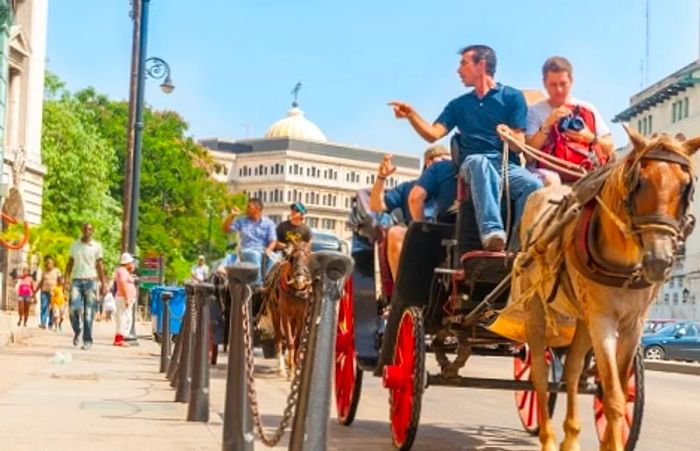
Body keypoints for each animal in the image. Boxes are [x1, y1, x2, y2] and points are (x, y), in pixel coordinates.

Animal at [264, 242, 314, 380]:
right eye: (291, 258)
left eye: (309, 258)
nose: (299, 280)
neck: (296, 292)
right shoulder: (285, 315)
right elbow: (290, 341)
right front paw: (291, 371)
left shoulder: (301, 316)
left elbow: (296, 341)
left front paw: (295, 366)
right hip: (276, 314)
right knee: (279, 338)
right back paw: (281, 367)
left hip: (294, 319)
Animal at [512, 126, 696, 451]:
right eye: (639, 181)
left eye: (687, 186)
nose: (659, 261)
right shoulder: (603, 320)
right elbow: (613, 397)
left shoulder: (634, 324)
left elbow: (619, 388)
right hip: (537, 309)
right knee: (538, 373)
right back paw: (548, 438)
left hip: (582, 319)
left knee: (572, 369)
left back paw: (571, 437)